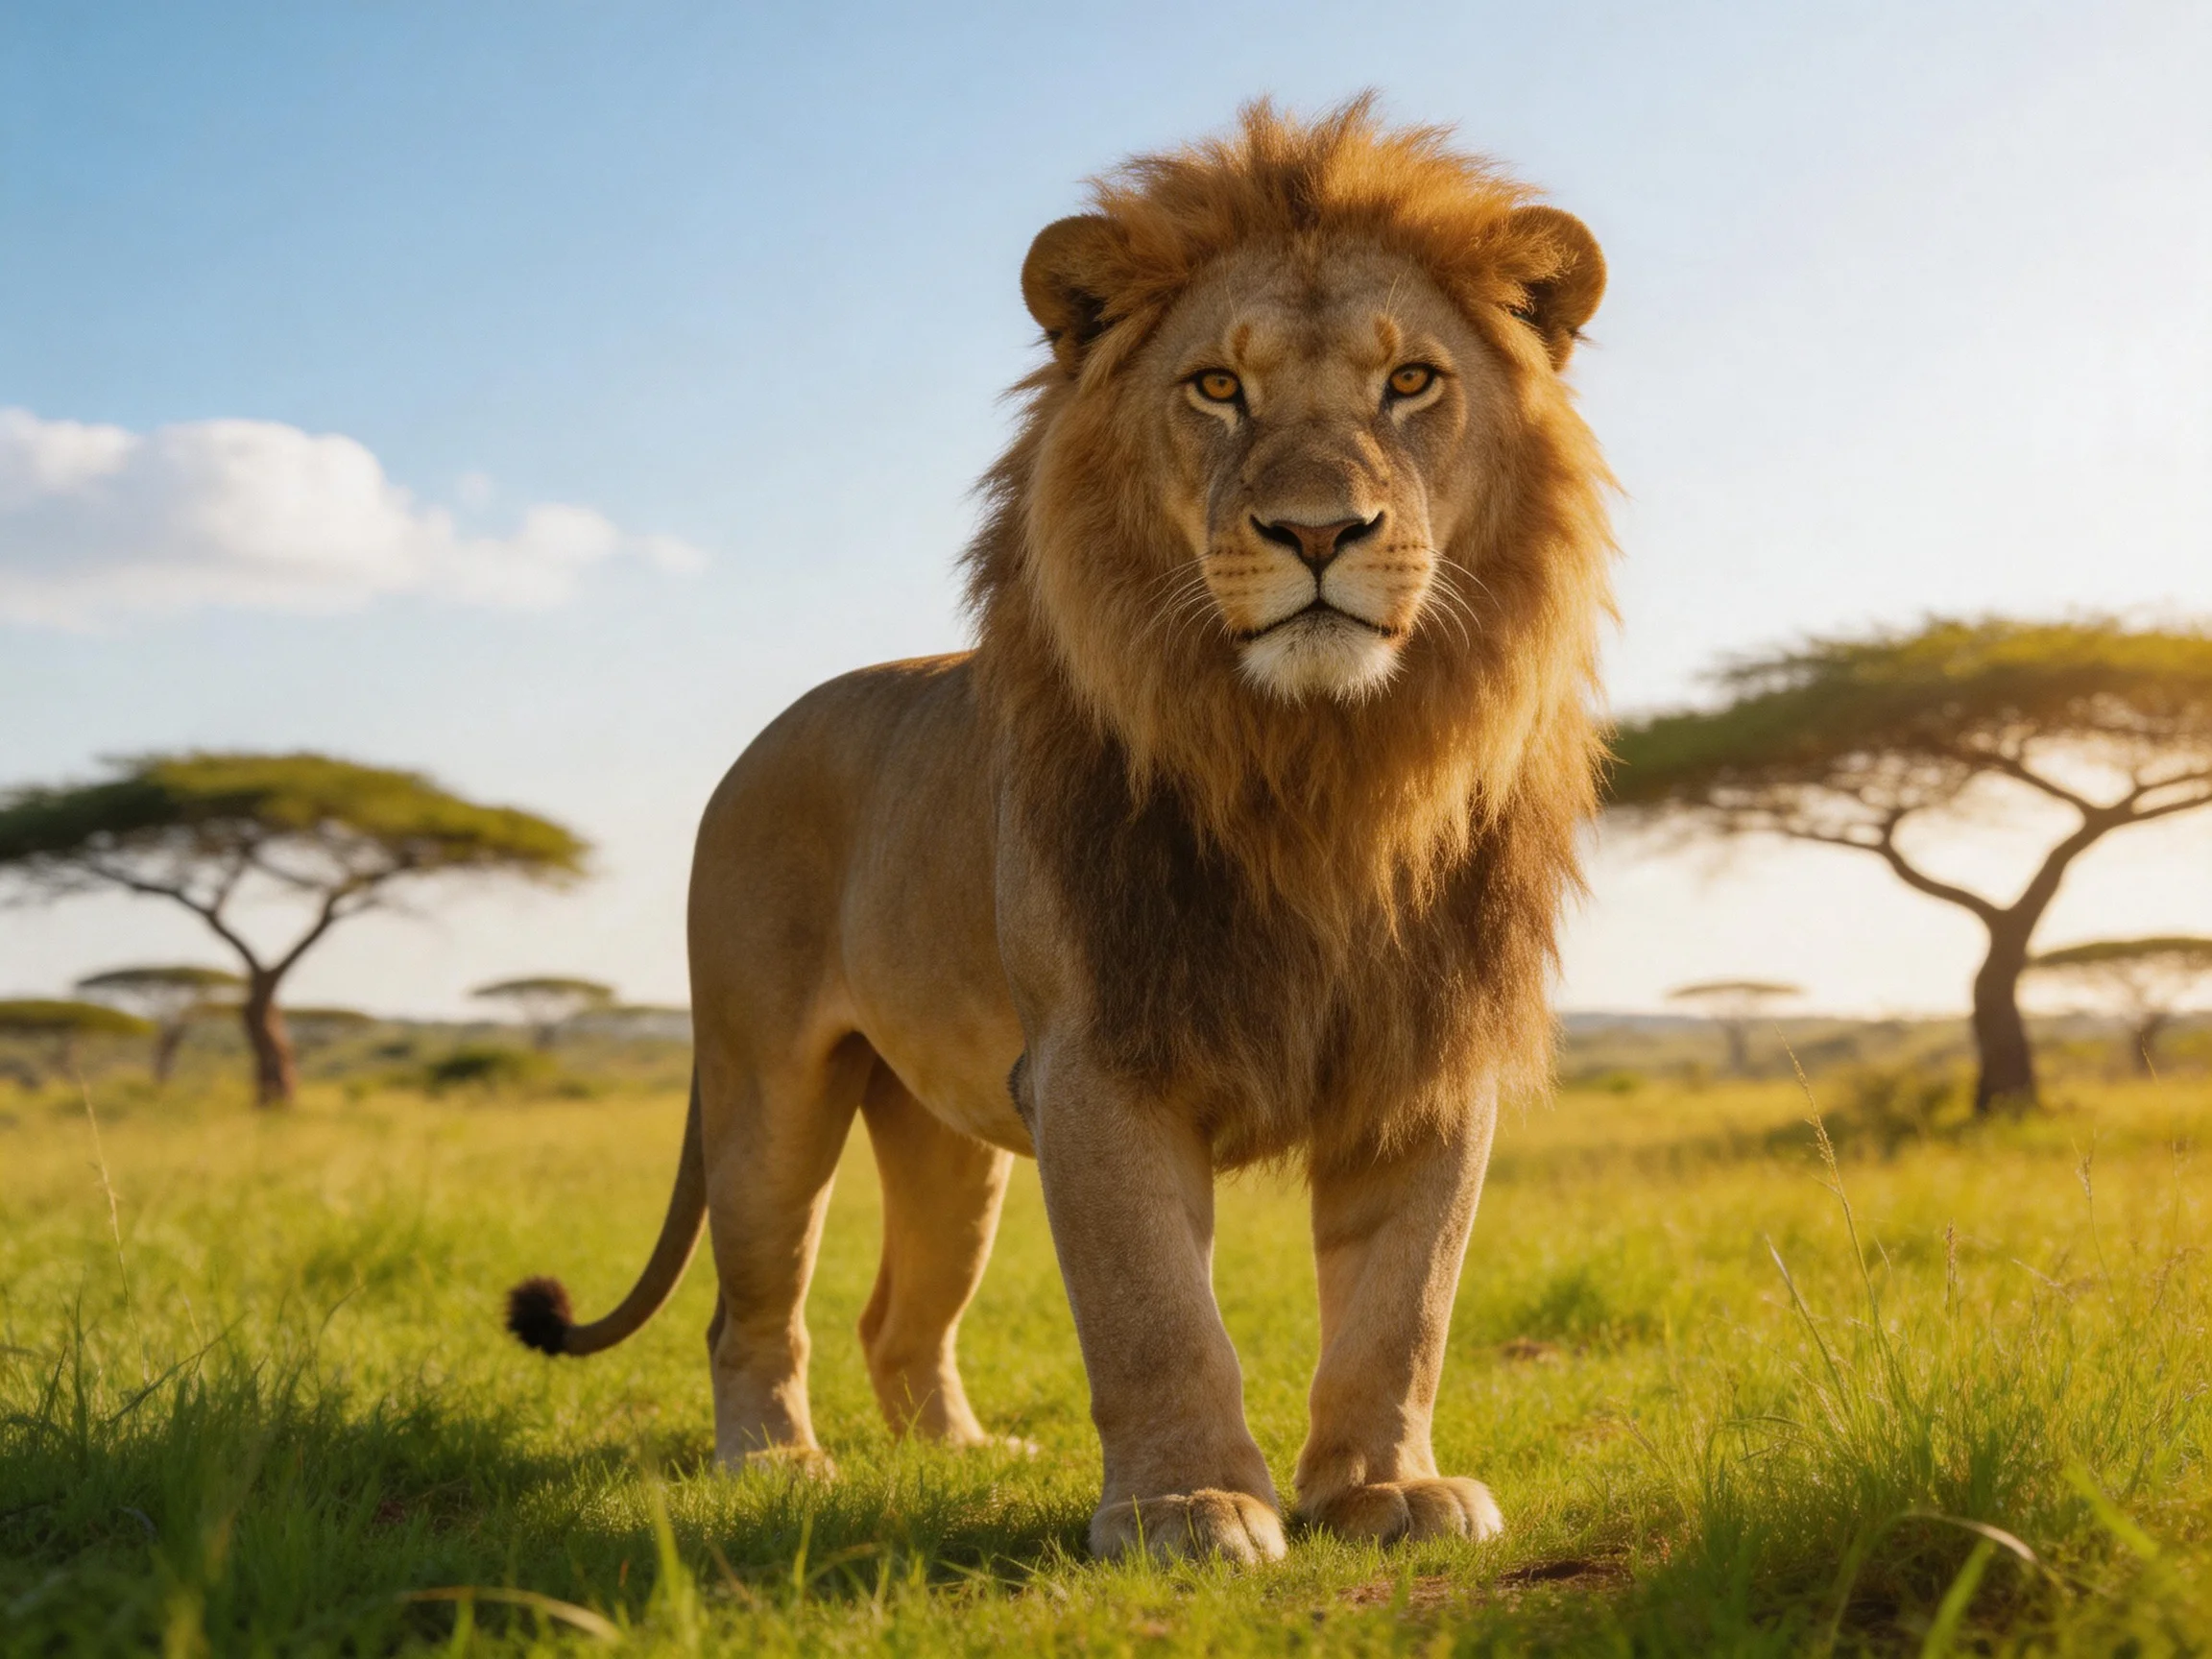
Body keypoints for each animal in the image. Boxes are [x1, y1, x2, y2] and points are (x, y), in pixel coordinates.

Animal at [507, 97, 1615, 1565]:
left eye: (1413, 383)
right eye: (1219, 388)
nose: (1320, 530)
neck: (1325, 764)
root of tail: (767, 734)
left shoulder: (1427, 1055)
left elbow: (1402, 1307)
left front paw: (1384, 1489)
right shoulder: (1100, 1057)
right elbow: (1154, 1310)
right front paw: (1184, 1506)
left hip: (947, 1137)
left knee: (898, 1317)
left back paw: (962, 1453)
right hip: (765, 1089)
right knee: (753, 1307)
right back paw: (776, 1464)